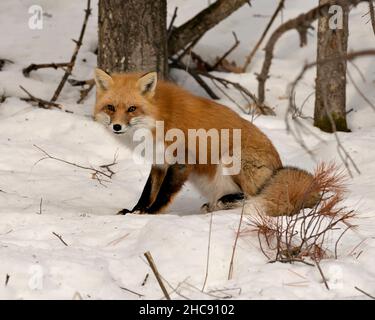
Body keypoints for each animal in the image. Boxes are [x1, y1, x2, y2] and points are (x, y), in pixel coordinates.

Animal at [92, 69, 318, 216]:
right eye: (111, 107)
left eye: (132, 109)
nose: (117, 127)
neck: (158, 118)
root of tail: (278, 168)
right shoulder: (159, 162)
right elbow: (148, 192)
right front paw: (135, 211)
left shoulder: (183, 159)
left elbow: (164, 193)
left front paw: (151, 212)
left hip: (232, 157)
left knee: (252, 195)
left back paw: (227, 202)